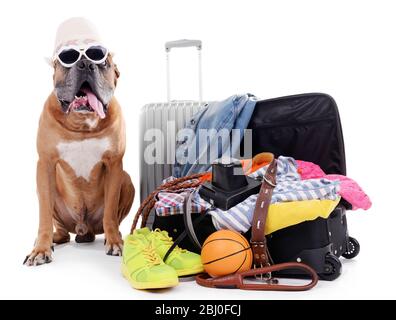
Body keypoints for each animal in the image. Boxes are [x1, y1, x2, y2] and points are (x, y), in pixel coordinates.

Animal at [24, 22, 135, 266]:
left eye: (103, 62)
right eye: (69, 59)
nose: (85, 64)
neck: (82, 125)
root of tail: (84, 229)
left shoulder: (114, 165)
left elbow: (110, 212)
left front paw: (115, 241)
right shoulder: (45, 164)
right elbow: (43, 215)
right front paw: (41, 248)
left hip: (127, 181)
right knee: (61, 229)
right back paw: (53, 239)